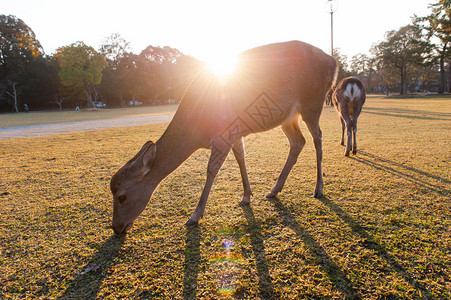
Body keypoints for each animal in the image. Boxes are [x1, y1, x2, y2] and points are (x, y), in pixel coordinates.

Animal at [109, 39, 338, 233]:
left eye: (121, 196)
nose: (116, 228)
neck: (197, 130)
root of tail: (333, 63)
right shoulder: (236, 132)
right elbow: (241, 158)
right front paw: (246, 196)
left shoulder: (223, 134)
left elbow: (212, 170)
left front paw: (194, 216)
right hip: (288, 117)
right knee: (298, 142)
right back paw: (274, 190)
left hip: (312, 103)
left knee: (318, 138)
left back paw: (318, 189)